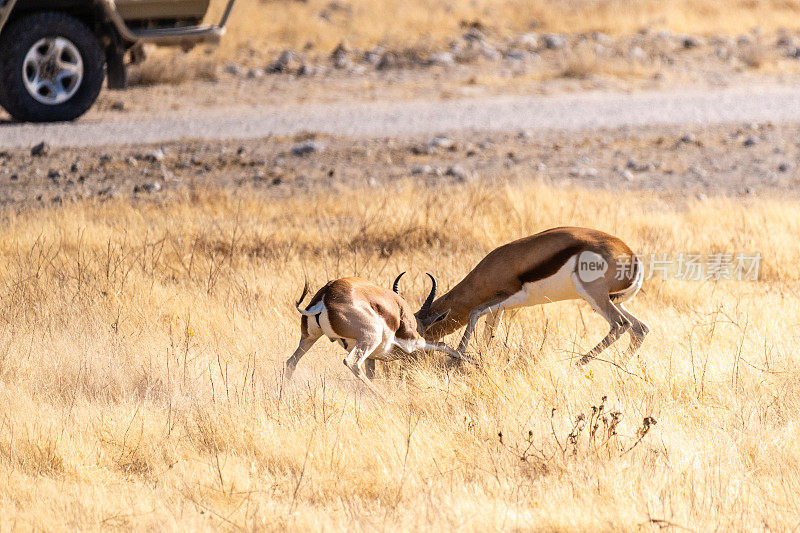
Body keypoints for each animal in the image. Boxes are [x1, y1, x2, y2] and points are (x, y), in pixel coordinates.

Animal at [284, 274, 472, 394]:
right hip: (370, 337)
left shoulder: (372, 357)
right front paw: (475, 362)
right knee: (351, 362)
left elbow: (371, 373)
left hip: (309, 338)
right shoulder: (413, 342)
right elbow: (442, 345)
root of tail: (325, 295)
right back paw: (383, 398)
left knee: (291, 361)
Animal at [416, 227, 648, 364]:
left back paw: (577, 364)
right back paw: (620, 366)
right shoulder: (498, 308)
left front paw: (458, 359)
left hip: (593, 295)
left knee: (620, 324)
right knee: (640, 329)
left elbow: (474, 312)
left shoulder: (510, 295)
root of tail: (632, 258)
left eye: (424, 331)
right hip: (612, 300)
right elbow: (488, 332)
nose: (418, 355)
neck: (494, 267)